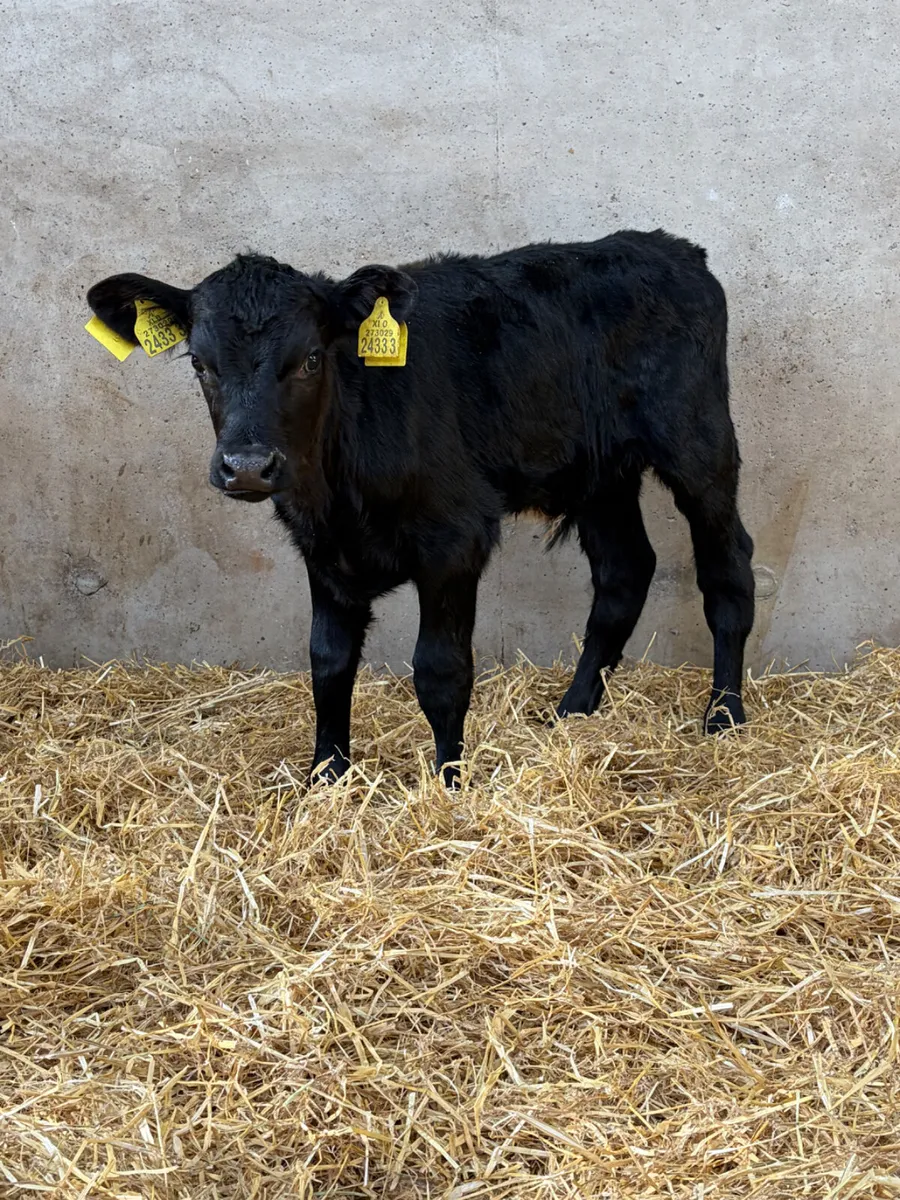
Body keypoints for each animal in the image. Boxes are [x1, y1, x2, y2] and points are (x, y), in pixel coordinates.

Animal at [87, 231, 755, 786]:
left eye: (310, 359)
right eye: (200, 364)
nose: (248, 466)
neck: (341, 489)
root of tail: (672, 248)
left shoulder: (456, 538)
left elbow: (440, 670)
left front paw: (449, 784)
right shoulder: (322, 549)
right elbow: (328, 662)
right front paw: (325, 779)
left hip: (699, 444)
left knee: (728, 570)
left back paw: (724, 716)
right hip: (600, 475)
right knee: (623, 573)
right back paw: (572, 712)